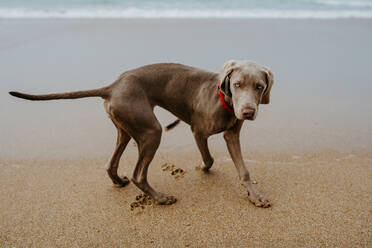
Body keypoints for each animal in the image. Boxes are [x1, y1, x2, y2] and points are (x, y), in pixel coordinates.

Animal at [9, 60, 274, 207]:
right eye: (237, 84)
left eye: (259, 87)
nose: (247, 111)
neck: (223, 100)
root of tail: (112, 86)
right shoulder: (198, 130)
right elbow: (208, 158)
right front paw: (202, 167)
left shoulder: (232, 135)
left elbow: (244, 170)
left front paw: (256, 196)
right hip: (151, 131)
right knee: (139, 174)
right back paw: (160, 199)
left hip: (126, 127)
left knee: (111, 163)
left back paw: (118, 181)